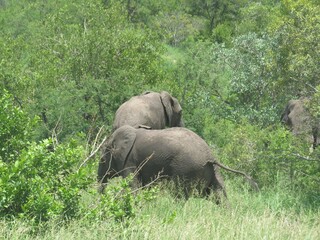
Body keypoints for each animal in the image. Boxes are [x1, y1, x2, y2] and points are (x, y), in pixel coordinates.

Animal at [98, 124, 260, 203]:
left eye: (103, 159)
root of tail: (210, 156)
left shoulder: (129, 161)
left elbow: (133, 185)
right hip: (213, 172)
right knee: (219, 195)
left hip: (186, 168)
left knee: (179, 195)